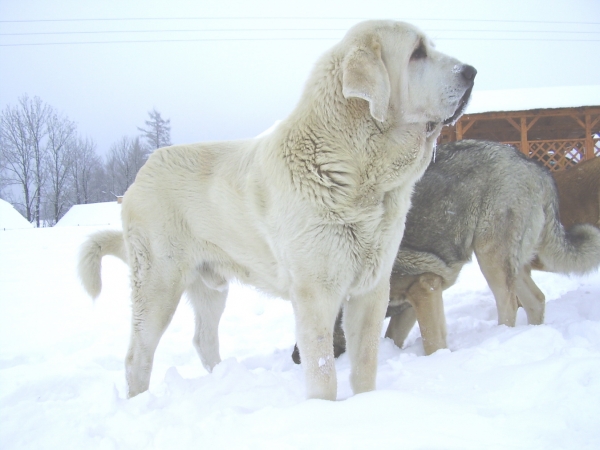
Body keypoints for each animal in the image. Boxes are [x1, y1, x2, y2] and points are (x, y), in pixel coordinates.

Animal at [78, 21, 474, 400]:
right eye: (417, 53)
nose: (471, 71)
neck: (352, 168)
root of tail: (142, 172)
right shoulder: (316, 295)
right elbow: (323, 372)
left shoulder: (371, 291)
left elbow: (365, 364)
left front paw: (367, 404)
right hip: (158, 284)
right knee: (138, 355)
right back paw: (138, 403)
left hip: (209, 287)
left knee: (203, 339)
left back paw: (224, 379)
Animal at [296, 140, 600, 362]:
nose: (296, 359)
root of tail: (535, 166)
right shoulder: (411, 302)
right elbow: (393, 337)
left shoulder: (425, 286)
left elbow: (433, 341)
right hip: (512, 261)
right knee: (536, 299)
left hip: (490, 257)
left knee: (509, 304)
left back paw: (500, 338)